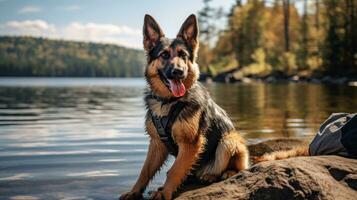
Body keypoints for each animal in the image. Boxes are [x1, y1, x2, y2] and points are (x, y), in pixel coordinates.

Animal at [119, 13, 248, 198]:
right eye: (164, 55)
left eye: (183, 55)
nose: (178, 72)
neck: (170, 102)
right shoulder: (156, 144)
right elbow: (145, 171)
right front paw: (134, 192)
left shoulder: (190, 144)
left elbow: (174, 171)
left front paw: (164, 193)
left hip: (230, 140)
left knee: (238, 167)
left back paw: (223, 173)